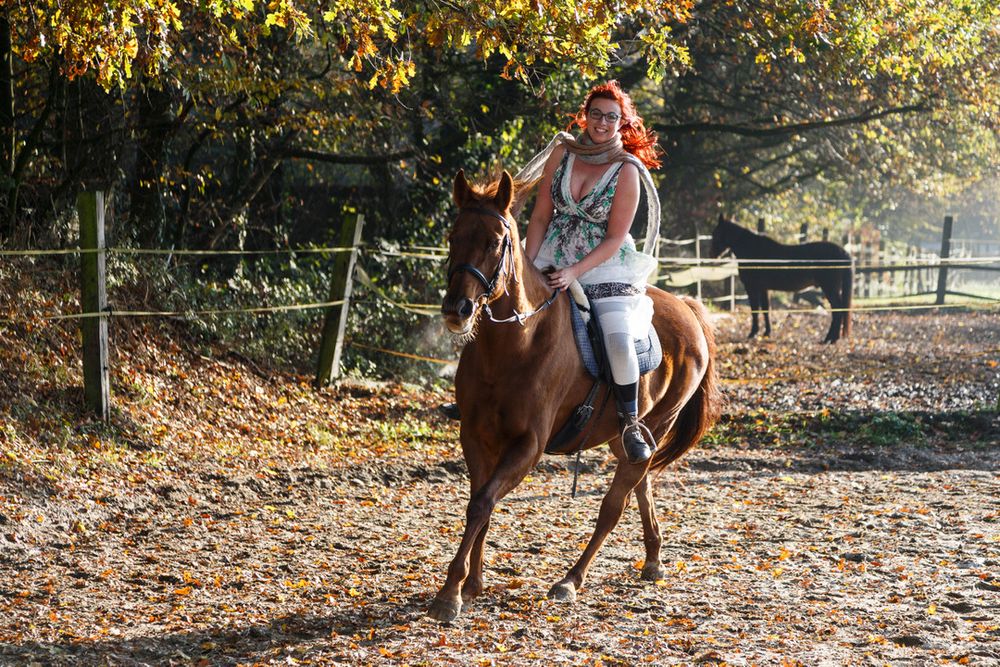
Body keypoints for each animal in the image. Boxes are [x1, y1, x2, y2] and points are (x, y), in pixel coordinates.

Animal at [431, 169, 721, 623]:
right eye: (452, 236)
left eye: (495, 242)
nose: (456, 309)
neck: (514, 344)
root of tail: (687, 307)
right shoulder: (477, 437)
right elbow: (481, 502)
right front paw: (472, 583)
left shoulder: (528, 446)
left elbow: (482, 503)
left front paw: (450, 593)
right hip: (625, 437)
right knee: (641, 485)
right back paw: (653, 559)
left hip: (657, 424)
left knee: (614, 506)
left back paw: (571, 579)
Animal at [709, 215, 853, 343]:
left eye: (715, 234)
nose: (711, 255)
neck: (753, 250)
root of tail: (842, 252)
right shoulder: (764, 288)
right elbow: (766, 309)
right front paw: (767, 333)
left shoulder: (752, 287)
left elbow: (755, 310)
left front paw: (753, 333)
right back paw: (831, 338)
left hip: (829, 288)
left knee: (838, 310)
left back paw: (831, 339)